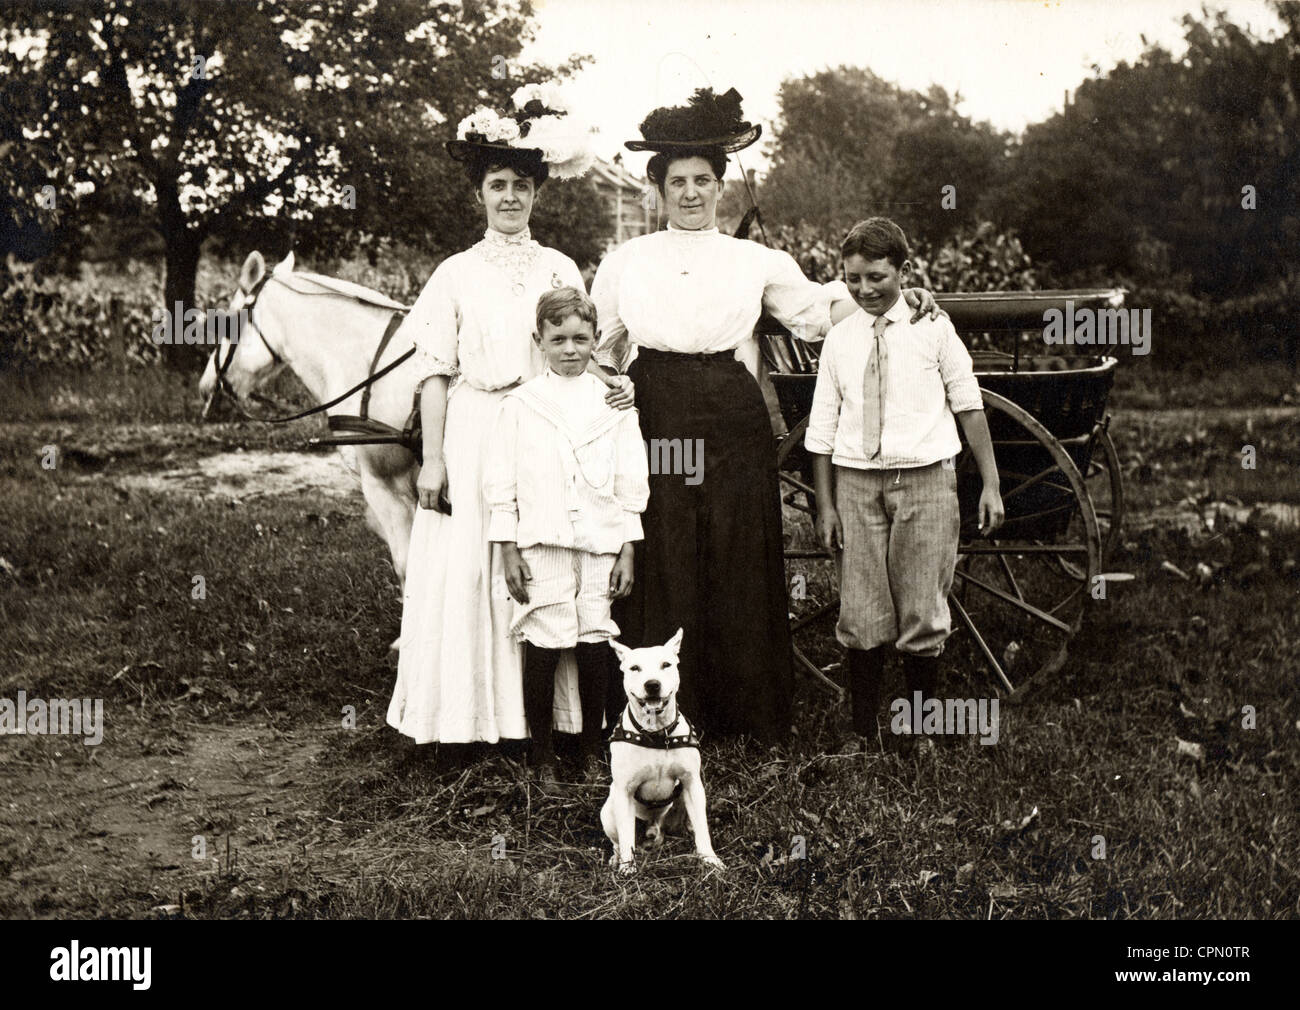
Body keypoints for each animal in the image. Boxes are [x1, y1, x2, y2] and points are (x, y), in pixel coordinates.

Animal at [598, 626, 722, 868]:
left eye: (666, 664)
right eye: (635, 668)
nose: (652, 684)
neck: (655, 733)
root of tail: (653, 828)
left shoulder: (692, 783)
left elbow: (702, 828)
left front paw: (710, 859)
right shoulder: (624, 791)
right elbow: (626, 837)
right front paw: (627, 868)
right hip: (608, 810)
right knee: (618, 841)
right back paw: (617, 858)